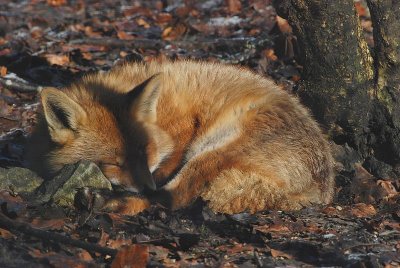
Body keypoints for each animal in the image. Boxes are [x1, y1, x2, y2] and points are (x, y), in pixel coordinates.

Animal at [25, 59, 334, 215]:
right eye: (114, 163)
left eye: (146, 152)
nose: (146, 186)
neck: (161, 115)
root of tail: (321, 189)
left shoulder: (186, 128)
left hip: (215, 148)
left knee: (174, 198)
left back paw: (109, 201)